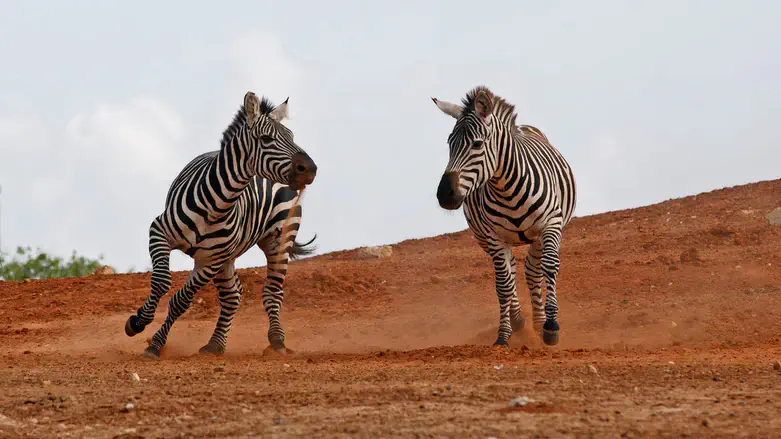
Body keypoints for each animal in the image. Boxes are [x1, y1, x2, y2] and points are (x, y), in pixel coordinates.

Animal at [122, 91, 316, 360]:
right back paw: (215, 344)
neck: (216, 204)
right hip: (229, 254)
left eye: (292, 137)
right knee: (233, 294)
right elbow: (161, 282)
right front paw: (138, 322)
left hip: (279, 240)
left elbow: (181, 301)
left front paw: (156, 344)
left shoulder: (209, 261)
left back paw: (276, 341)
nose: (310, 170)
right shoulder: (159, 232)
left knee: (272, 291)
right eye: (266, 139)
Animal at [430, 86, 576, 348]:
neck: (507, 188)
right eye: (449, 143)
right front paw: (504, 334)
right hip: (489, 239)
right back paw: (521, 321)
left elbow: (550, 266)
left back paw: (540, 323)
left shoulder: (551, 225)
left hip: (540, 235)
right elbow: (503, 284)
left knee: (533, 269)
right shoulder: (493, 237)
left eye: (478, 144)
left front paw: (551, 326)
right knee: (513, 271)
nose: (445, 194)